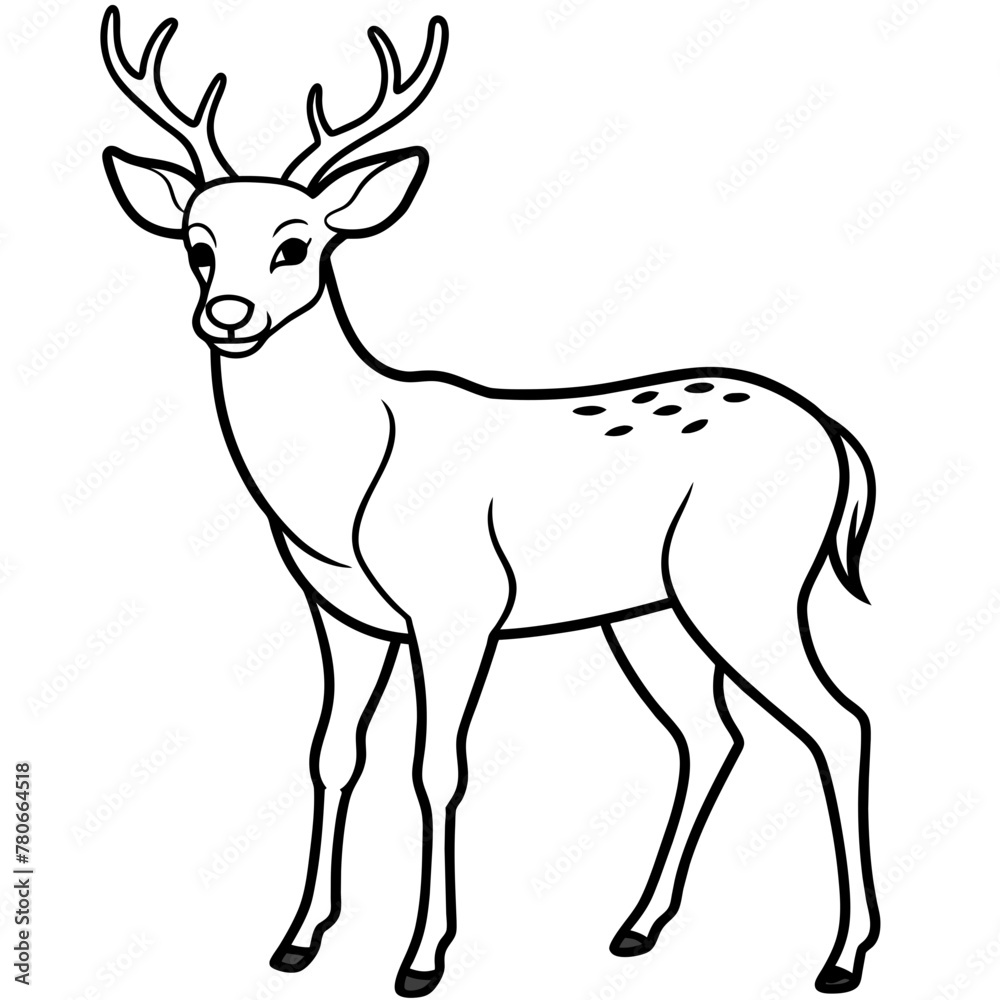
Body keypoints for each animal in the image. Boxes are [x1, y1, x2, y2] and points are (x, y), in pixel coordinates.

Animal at [100, 6, 880, 996]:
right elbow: (332, 754)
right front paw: (299, 938)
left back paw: (843, 956)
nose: (228, 315)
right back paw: (637, 927)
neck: (342, 492)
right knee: (713, 736)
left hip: (747, 581)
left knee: (839, 721)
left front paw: (422, 958)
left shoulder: (460, 605)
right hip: (649, 611)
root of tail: (839, 439)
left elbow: (438, 767)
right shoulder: (340, 613)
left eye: (296, 243)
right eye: (197, 244)